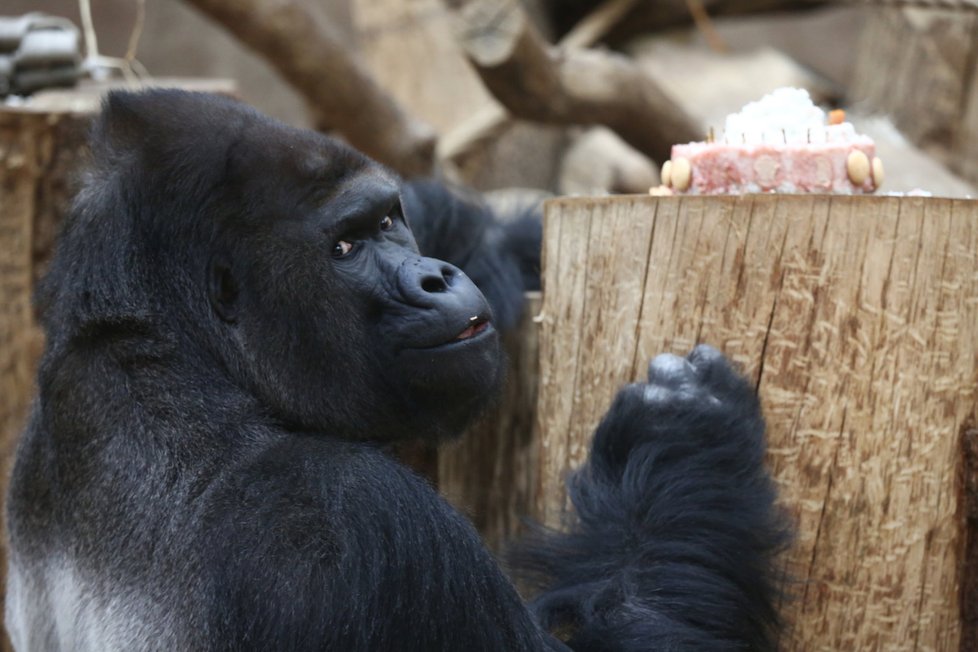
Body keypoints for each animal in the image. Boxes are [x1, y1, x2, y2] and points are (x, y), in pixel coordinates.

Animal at [3, 91, 788, 652]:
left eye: (388, 221)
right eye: (346, 247)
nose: (436, 278)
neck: (167, 345)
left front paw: (500, 239)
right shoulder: (349, 512)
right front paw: (675, 443)